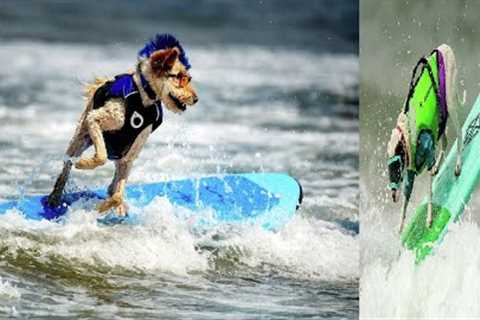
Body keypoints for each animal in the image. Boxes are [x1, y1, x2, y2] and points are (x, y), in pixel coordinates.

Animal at [47, 33, 199, 216]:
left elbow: (118, 193)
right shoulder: (95, 118)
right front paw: (84, 164)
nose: (196, 99)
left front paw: (107, 206)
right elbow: (101, 156)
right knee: (66, 167)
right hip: (80, 138)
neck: (143, 96)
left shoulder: (131, 153)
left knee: (113, 185)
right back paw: (55, 196)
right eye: (180, 78)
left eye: (188, 78)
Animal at [388, 43, 464, 232]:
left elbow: (429, 190)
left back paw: (457, 166)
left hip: (451, 102)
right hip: (441, 119)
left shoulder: (427, 155)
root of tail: (443, 47)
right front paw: (400, 227)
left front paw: (429, 219)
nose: (392, 196)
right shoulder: (411, 169)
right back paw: (439, 166)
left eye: (396, 166)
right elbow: (407, 197)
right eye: (388, 167)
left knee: (459, 133)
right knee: (445, 140)